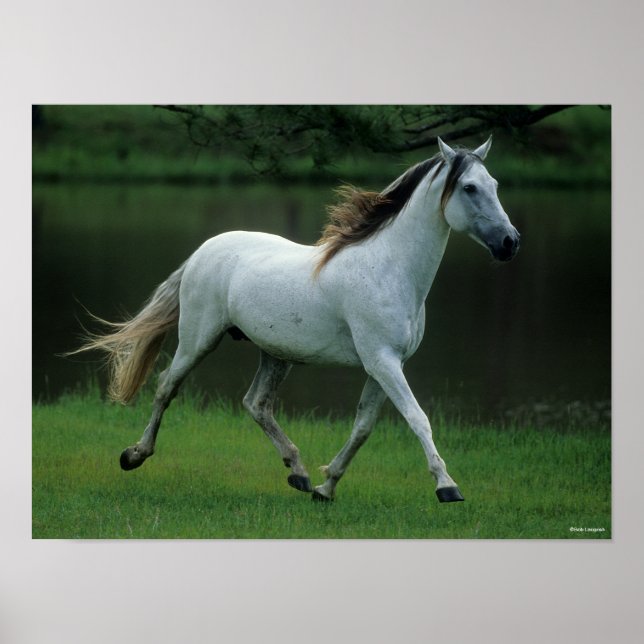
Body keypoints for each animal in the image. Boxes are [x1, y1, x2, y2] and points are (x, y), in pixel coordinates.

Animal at [75, 136, 520, 503]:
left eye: (495, 184)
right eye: (469, 187)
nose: (510, 243)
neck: (389, 269)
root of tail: (204, 250)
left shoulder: (385, 364)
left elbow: (363, 427)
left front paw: (326, 487)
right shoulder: (382, 360)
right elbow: (418, 418)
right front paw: (448, 486)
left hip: (276, 353)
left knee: (256, 404)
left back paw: (299, 473)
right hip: (198, 339)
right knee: (167, 387)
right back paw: (134, 455)